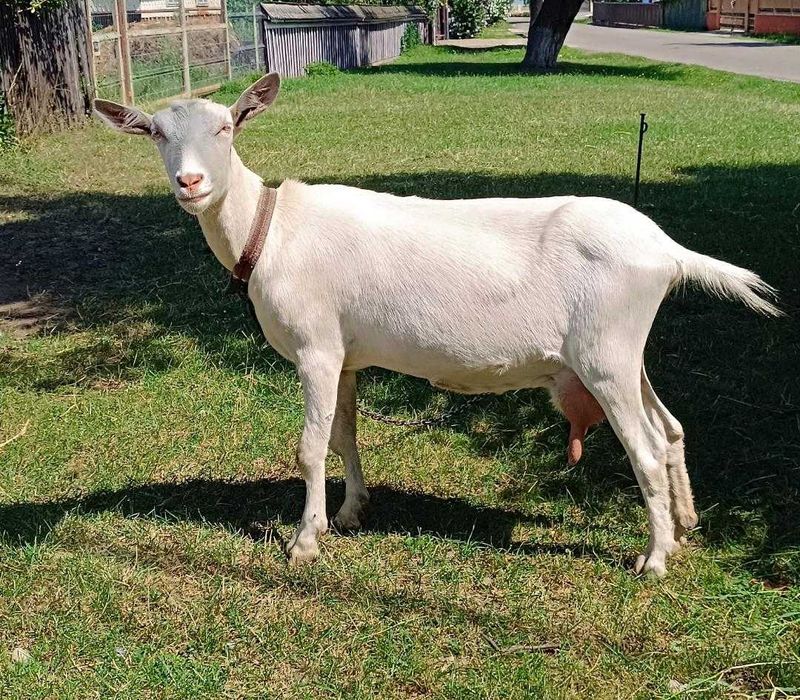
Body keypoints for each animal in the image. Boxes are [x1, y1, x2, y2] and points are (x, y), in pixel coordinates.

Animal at [94, 73, 780, 576]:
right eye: (154, 133)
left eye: (226, 127)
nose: (190, 182)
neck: (271, 230)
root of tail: (664, 249)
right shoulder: (346, 355)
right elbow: (344, 435)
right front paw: (350, 513)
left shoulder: (316, 348)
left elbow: (310, 446)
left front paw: (304, 541)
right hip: (622, 351)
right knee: (670, 430)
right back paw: (687, 525)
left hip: (605, 356)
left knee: (644, 447)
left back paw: (655, 559)